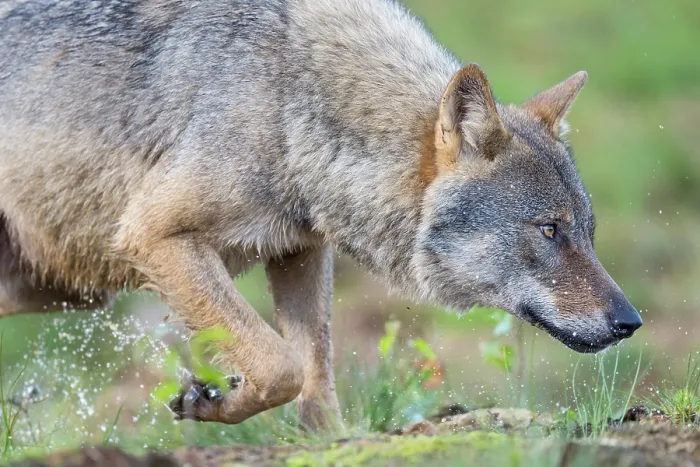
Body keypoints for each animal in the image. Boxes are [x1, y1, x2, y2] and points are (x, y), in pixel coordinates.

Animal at [0, 0, 642, 430]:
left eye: (587, 232)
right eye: (549, 230)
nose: (630, 322)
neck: (292, 99)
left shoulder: (299, 250)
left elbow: (315, 379)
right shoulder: (154, 235)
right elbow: (280, 365)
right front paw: (210, 400)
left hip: (57, 290)